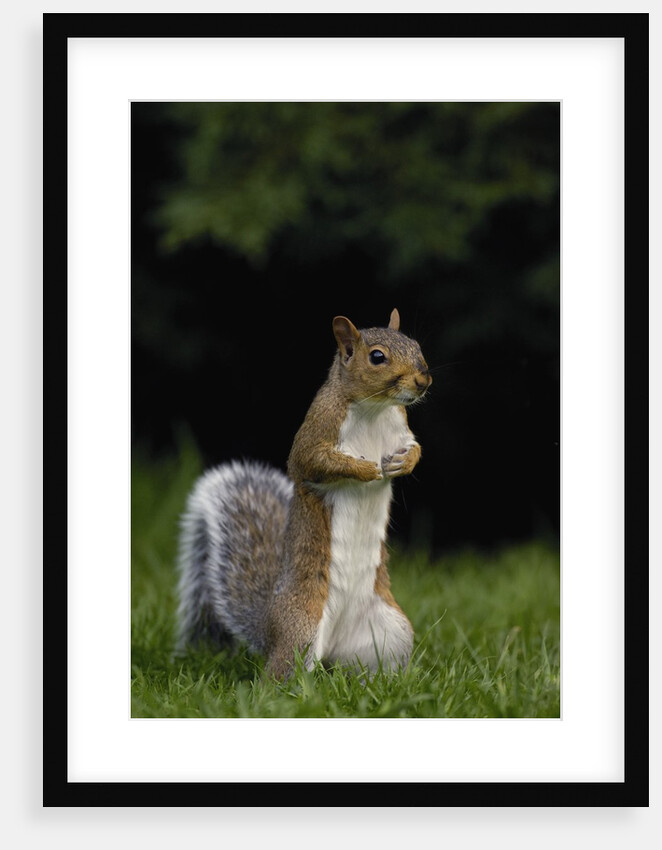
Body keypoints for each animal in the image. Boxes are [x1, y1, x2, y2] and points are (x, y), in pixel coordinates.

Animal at [176, 309, 432, 678]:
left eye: (416, 345)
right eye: (377, 357)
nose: (423, 381)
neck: (374, 409)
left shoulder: (401, 427)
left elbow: (414, 448)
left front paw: (403, 464)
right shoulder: (319, 427)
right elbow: (311, 462)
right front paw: (366, 469)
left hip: (391, 632)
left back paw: (380, 683)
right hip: (301, 630)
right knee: (278, 677)